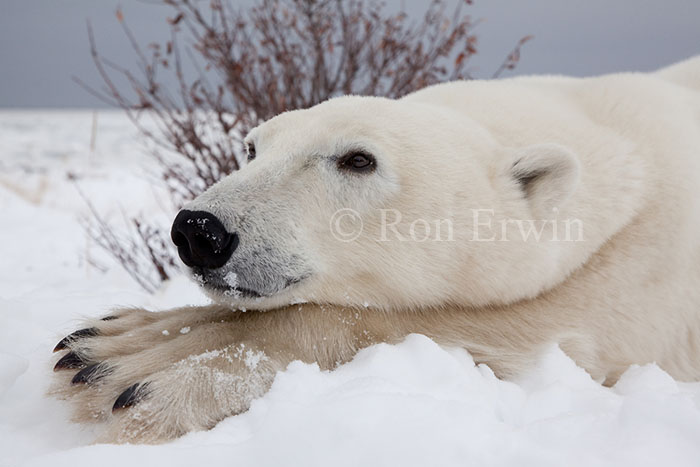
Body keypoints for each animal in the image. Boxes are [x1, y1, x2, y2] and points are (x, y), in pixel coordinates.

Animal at [51, 56, 700, 444]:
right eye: (253, 146)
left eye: (358, 159)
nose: (199, 230)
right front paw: (106, 339)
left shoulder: (640, 277)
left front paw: (130, 375)